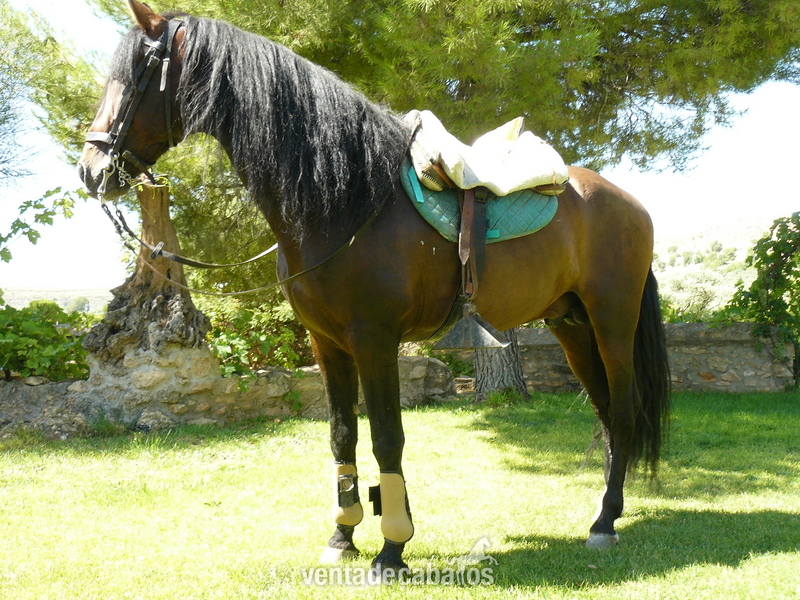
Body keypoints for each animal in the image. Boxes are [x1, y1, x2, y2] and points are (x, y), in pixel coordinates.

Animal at [78, 0, 670, 573]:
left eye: (136, 73)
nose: (91, 169)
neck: (347, 199)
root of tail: (629, 203)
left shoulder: (375, 338)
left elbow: (388, 436)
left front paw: (392, 549)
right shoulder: (326, 342)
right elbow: (342, 434)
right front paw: (342, 537)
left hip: (612, 323)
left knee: (622, 408)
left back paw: (604, 523)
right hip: (570, 325)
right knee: (605, 411)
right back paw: (605, 510)